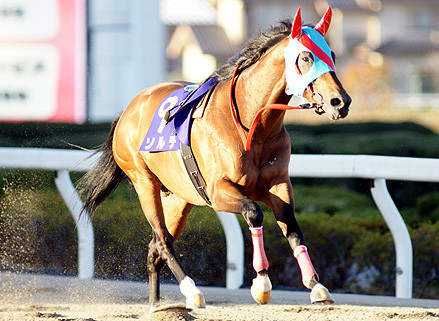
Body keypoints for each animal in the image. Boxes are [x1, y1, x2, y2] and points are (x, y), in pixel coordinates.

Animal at [79, 6, 352, 312]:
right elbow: (254, 213)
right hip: (144, 182)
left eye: (332, 55)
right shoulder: (219, 190)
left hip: (178, 199)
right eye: (306, 57)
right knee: (163, 241)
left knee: (154, 248)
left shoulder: (278, 185)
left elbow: (292, 228)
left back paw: (156, 304)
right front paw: (261, 283)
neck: (251, 123)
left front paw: (317, 285)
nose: (340, 102)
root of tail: (128, 110)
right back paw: (192, 291)